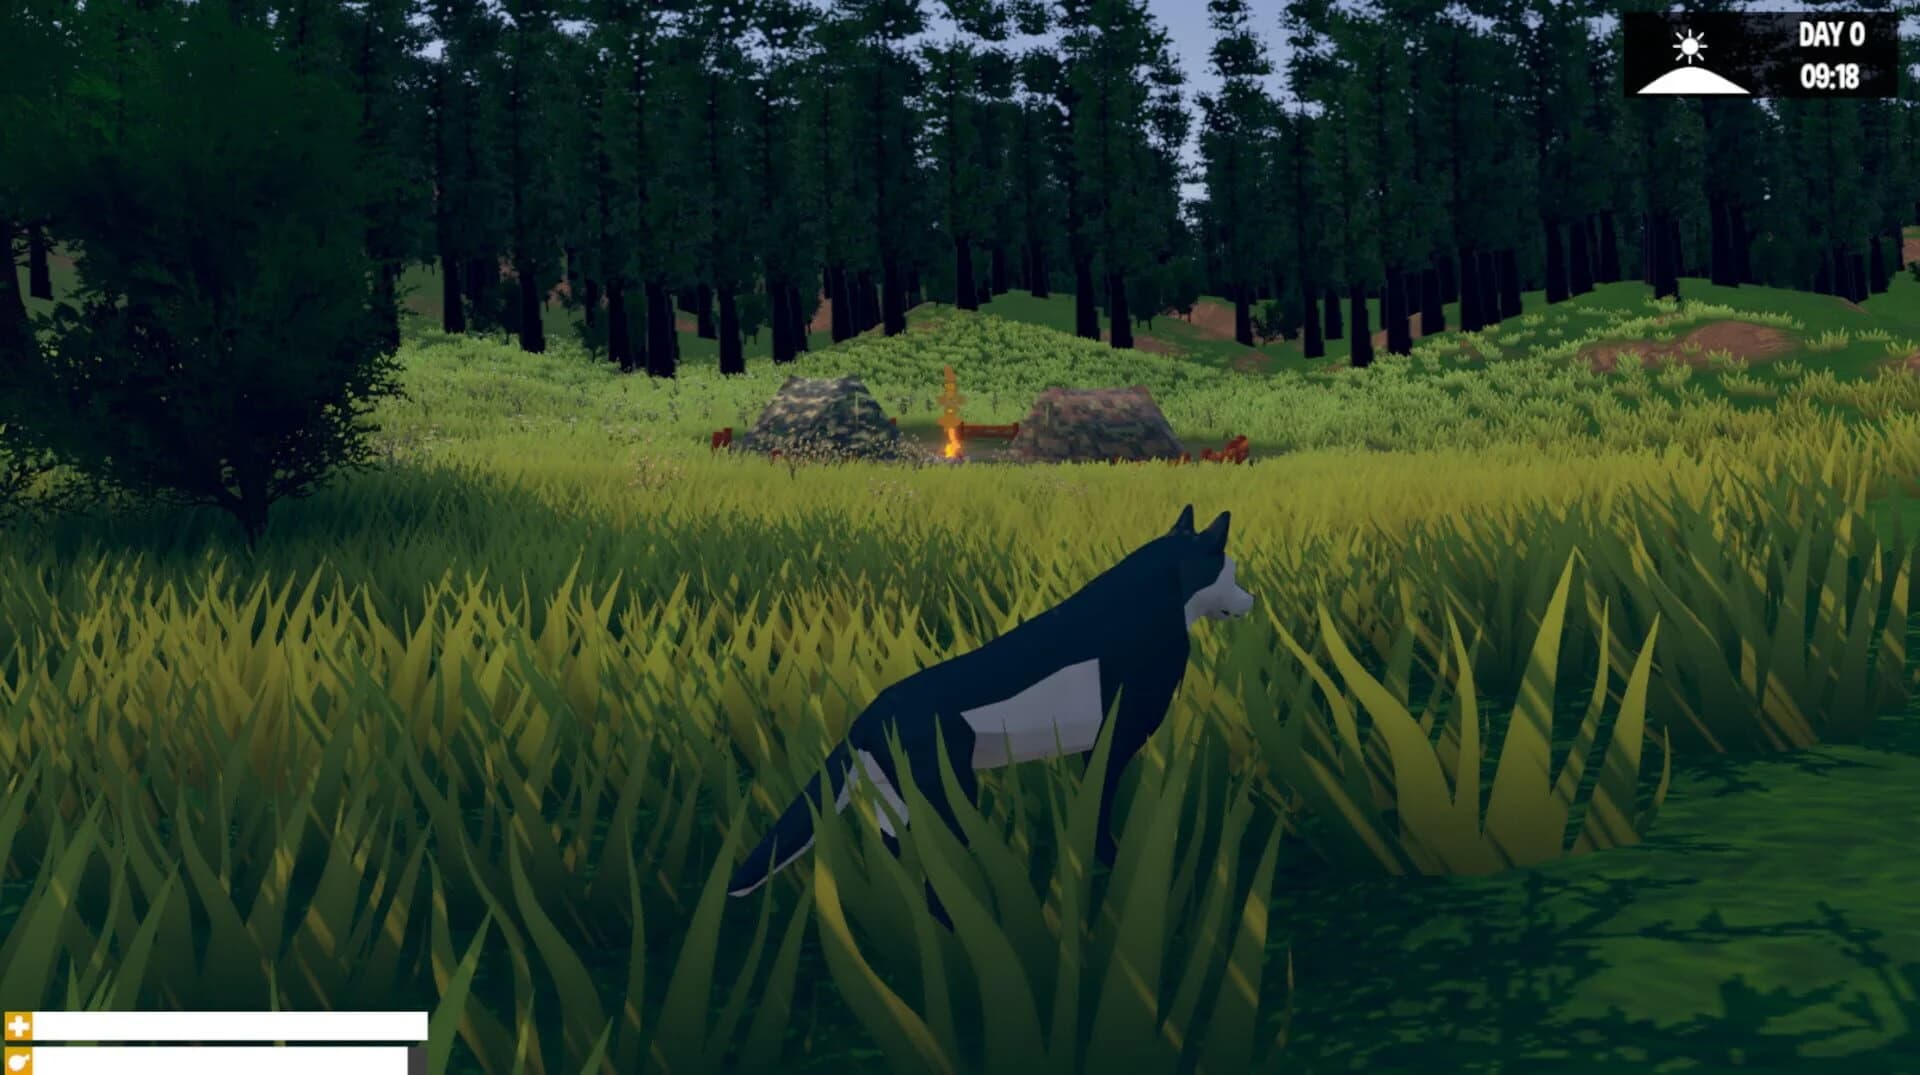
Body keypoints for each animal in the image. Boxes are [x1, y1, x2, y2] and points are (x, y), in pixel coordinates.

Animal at [726, 505, 1255, 903]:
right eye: (1229, 571)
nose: (1251, 601)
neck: (1154, 597)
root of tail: (867, 716)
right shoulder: (1114, 742)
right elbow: (1102, 813)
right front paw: (1112, 864)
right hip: (945, 795)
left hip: (896, 804)